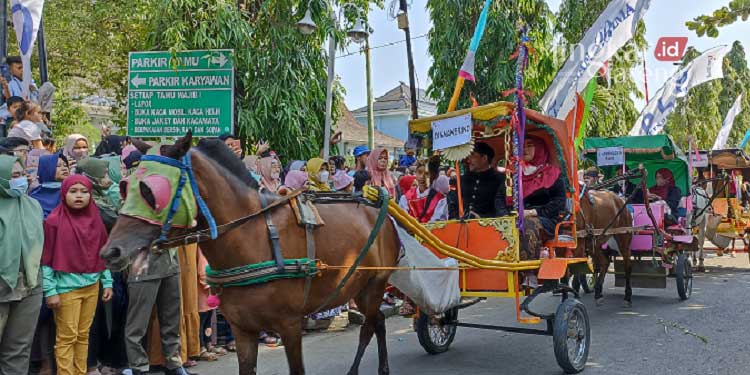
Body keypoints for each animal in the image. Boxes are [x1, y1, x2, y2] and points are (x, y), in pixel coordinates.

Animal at [104, 136, 406, 375]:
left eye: (150, 191)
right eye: (126, 186)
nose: (111, 251)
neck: (252, 237)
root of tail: (379, 209)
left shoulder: (290, 324)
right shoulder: (243, 329)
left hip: (375, 284)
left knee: (370, 325)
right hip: (360, 287)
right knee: (377, 321)